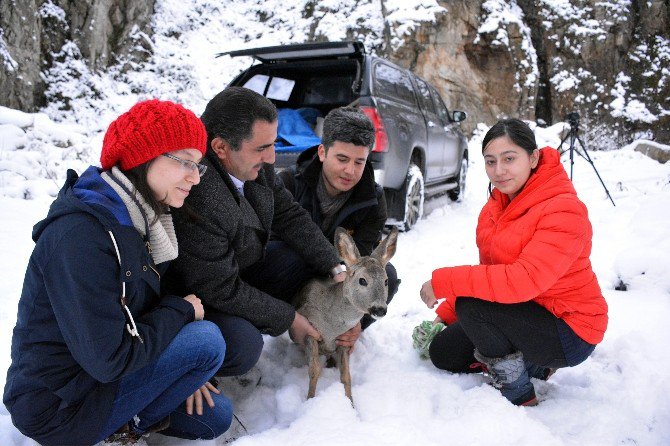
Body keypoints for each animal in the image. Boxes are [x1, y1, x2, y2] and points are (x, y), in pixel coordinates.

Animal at [294, 226, 400, 404]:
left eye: (385, 281)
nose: (380, 309)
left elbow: (346, 375)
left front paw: (350, 403)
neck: (332, 324)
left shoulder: (344, 340)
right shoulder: (310, 331)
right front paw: (310, 400)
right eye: (362, 280)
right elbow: (314, 370)